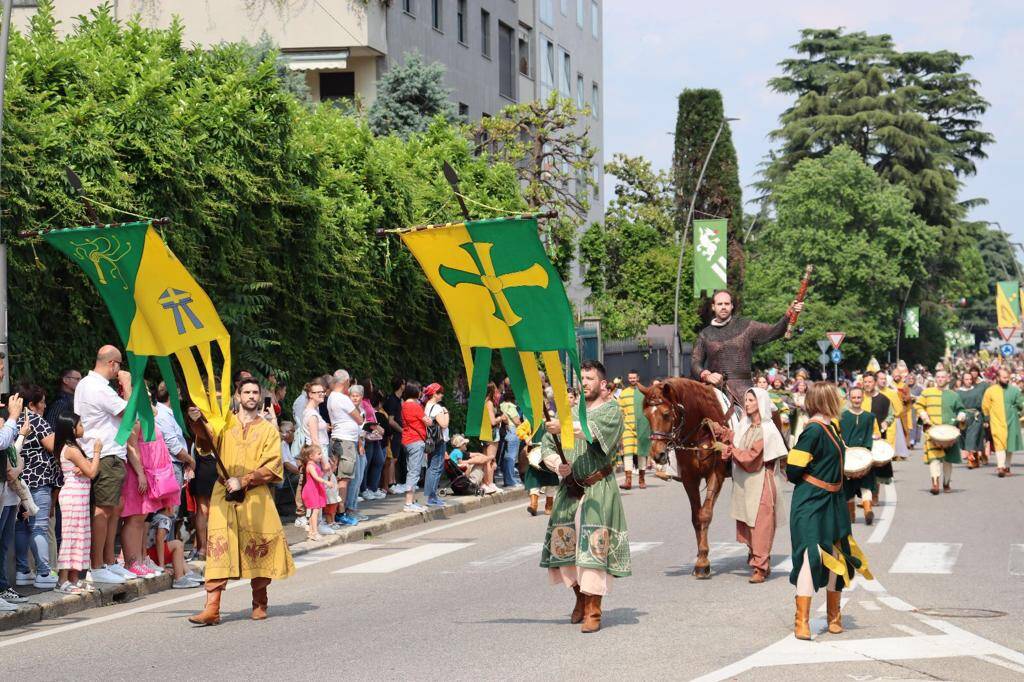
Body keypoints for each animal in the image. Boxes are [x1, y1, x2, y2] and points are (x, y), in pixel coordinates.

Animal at [638, 374, 729, 577]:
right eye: (647, 416)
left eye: (666, 414)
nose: (657, 455)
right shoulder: (689, 479)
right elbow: (696, 517)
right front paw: (701, 557)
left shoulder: (716, 474)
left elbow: (705, 514)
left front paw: (703, 562)